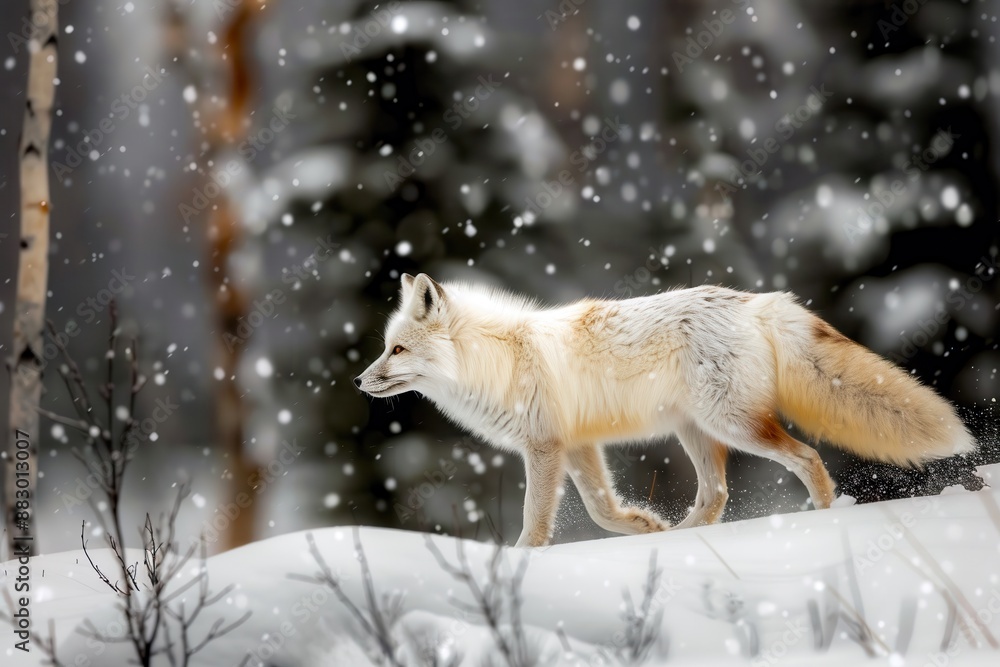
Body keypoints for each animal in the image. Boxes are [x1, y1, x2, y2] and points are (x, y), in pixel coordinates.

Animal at [355, 273, 975, 547]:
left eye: (396, 350)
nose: (360, 381)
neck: (499, 360)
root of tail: (757, 301)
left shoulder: (545, 448)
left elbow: (535, 521)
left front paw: (521, 564)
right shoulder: (577, 446)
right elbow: (602, 510)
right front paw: (642, 527)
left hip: (733, 426)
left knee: (807, 458)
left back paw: (828, 518)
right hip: (695, 433)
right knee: (716, 495)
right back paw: (676, 538)